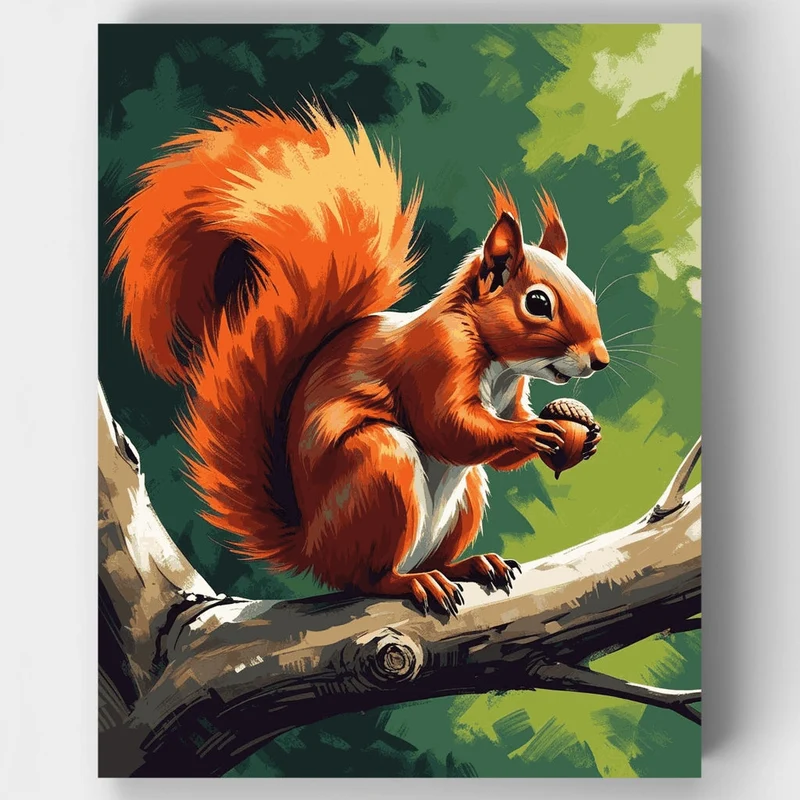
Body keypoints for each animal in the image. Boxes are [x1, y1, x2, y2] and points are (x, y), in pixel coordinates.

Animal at [107, 103, 608, 616]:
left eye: (589, 296)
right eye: (538, 303)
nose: (599, 360)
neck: (498, 362)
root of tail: (311, 549)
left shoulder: (510, 395)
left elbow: (497, 445)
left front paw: (580, 431)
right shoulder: (434, 360)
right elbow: (447, 428)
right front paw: (534, 432)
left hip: (463, 497)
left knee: (436, 551)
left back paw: (468, 565)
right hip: (379, 468)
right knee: (369, 577)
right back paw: (413, 582)